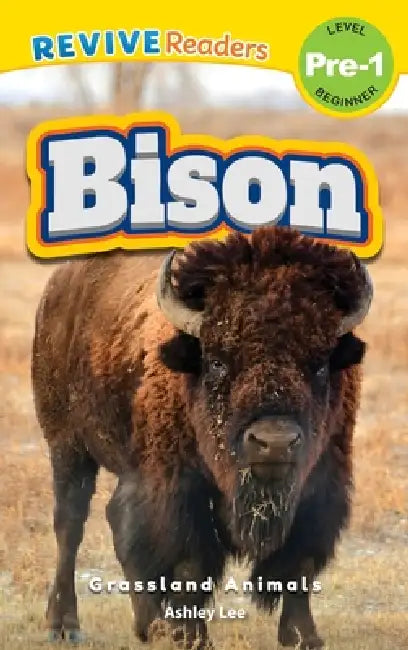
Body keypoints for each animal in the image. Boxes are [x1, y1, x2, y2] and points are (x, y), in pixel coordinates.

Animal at [32, 226, 372, 648]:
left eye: (321, 364)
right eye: (217, 362)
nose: (275, 442)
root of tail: (58, 286)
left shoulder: (320, 486)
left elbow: (300, 563)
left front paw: (303, 636)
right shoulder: (179, 489)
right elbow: (189, 564)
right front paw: (192, 637)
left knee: (114, 519)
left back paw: (147, 626)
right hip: (67, 446)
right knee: (70, 525)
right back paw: (64, 624)